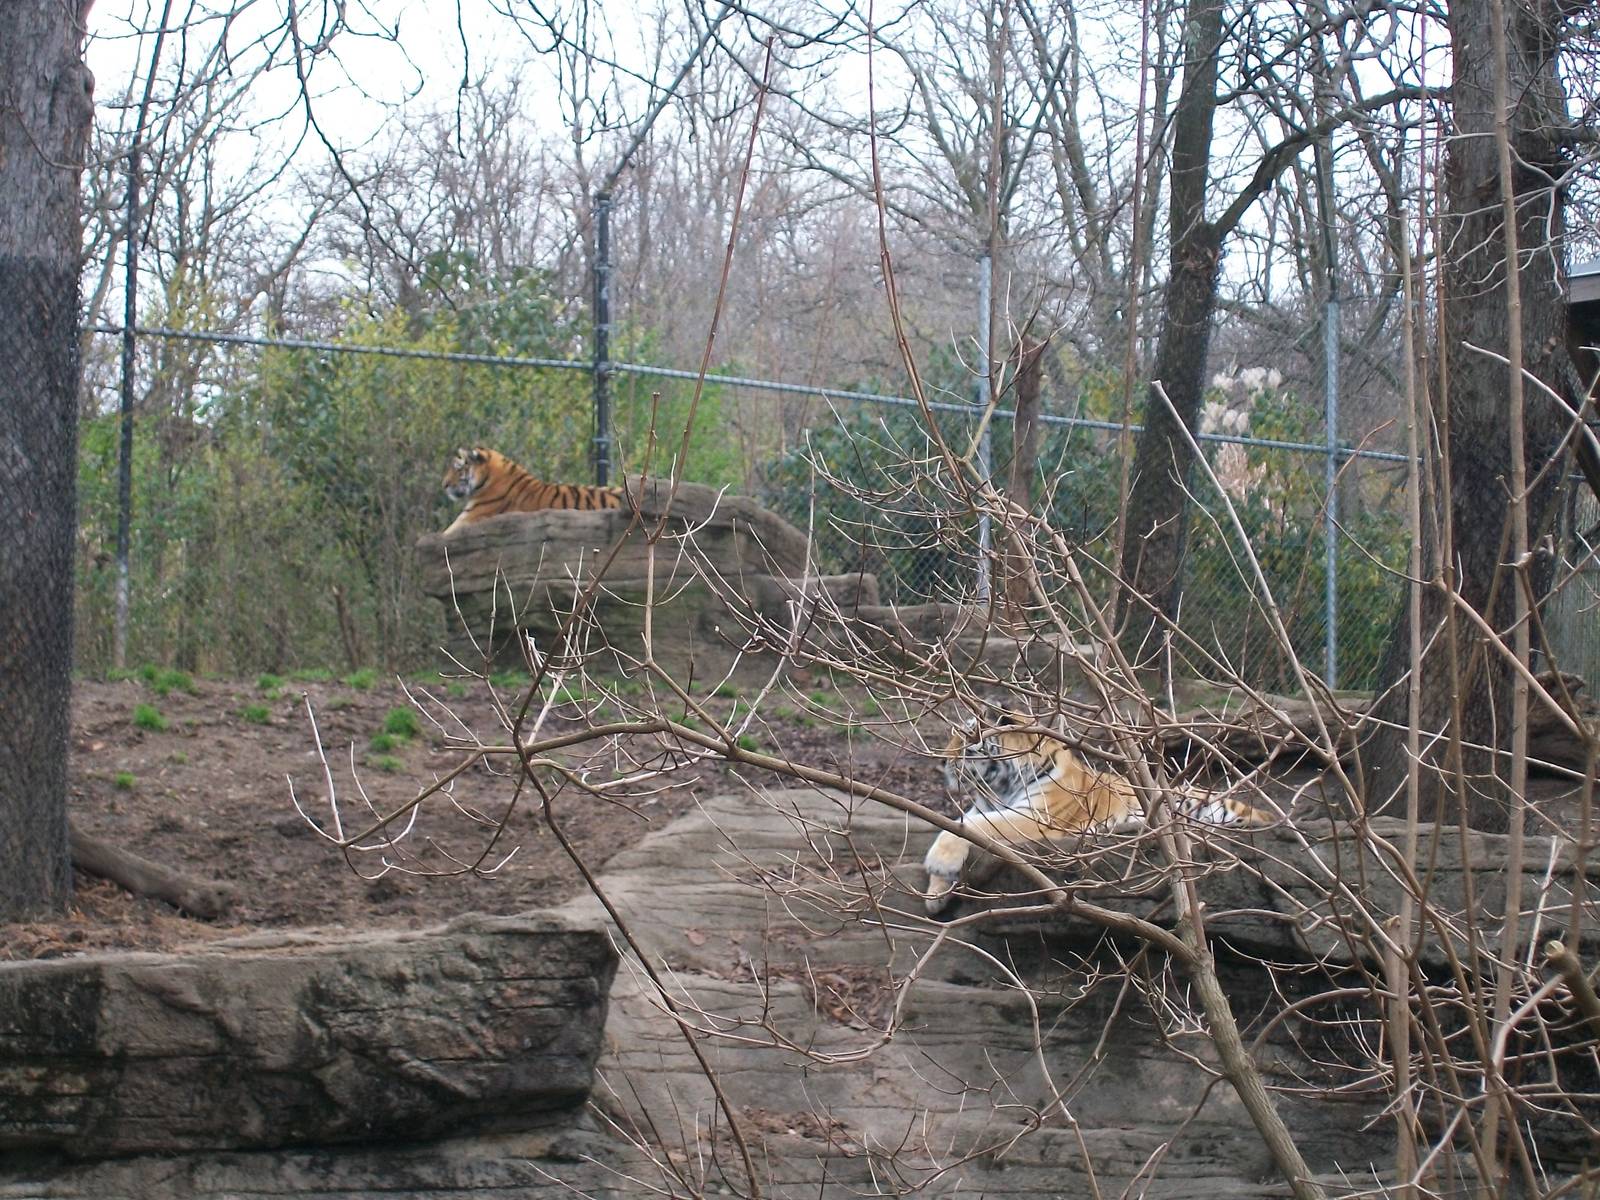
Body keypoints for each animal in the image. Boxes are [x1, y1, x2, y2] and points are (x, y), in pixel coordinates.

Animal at [922, 708, 1275, 915]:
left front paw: (939, 863)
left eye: (966, 739)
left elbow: (975, 826)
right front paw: (936, 894)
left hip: (1203, 802)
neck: (1000, 785)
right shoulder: (983, 808)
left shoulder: (1037, 819)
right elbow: (959, 822)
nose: (942, 760)